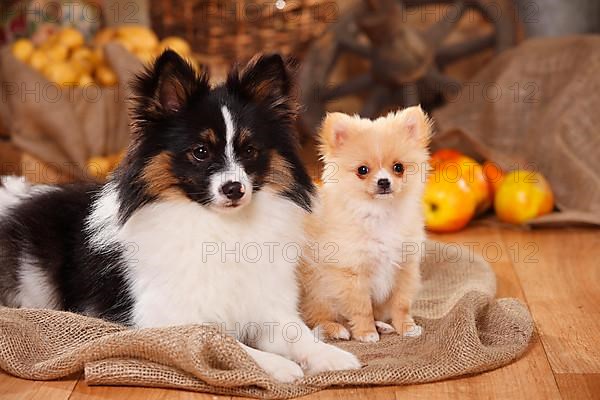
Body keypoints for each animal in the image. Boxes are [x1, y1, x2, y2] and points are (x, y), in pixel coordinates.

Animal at [0, 50, 358, 382]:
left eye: (249, 151)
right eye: (200, 152)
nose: (234, 189)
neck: (221, 226)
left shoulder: (270, 305)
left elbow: (297, 335)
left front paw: (332, 356)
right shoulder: (169, 319)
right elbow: (226, 341)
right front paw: (278, 366)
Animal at [300, 107, 432, 344]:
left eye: (398, 168)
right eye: (362, 170)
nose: (384, 182)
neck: (379, 213)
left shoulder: (405, 267)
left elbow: (401, 304)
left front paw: (406, 327)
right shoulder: (352, 273)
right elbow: (361, 308)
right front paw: (366, 333)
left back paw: (383, 326)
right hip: (317, 291)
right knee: (316, 317)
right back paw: (337, 329)